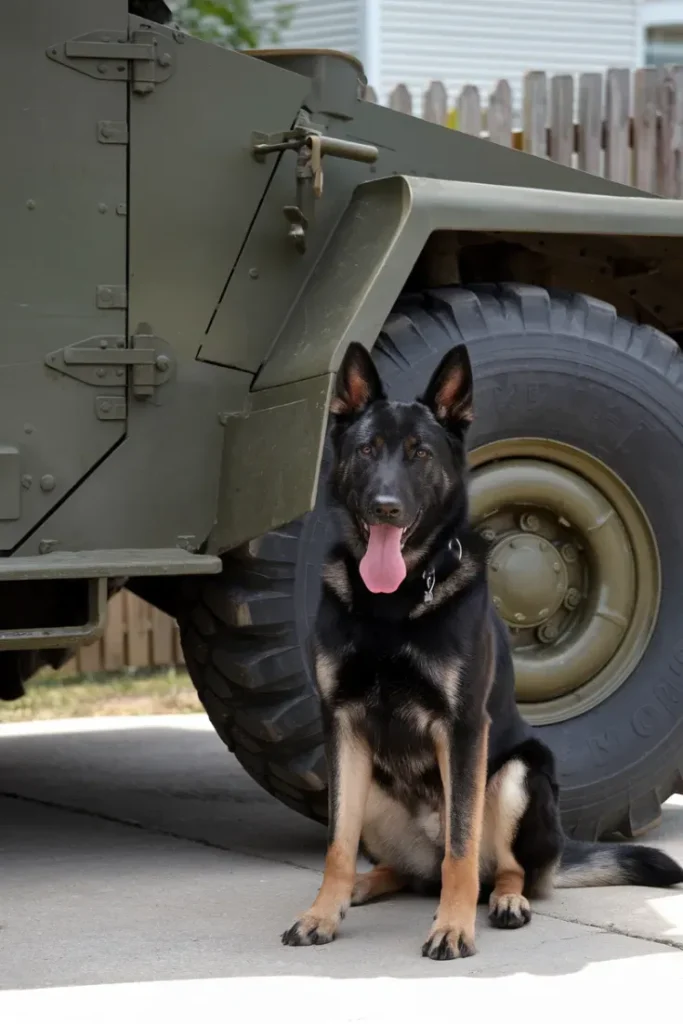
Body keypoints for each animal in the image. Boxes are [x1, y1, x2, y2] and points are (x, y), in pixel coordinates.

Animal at [282, 342, 683, 958]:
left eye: (420, 455)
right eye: (367, 450)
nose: (384, 506)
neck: (393, 603)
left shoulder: (464, 729)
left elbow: (462, 849)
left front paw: (453, 927)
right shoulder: (342, 728)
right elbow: (337, 846)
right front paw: (323, 912)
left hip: (518, 774)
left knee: (505, 868)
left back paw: (506, 901)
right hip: (371, 786)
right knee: (404, 870)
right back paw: (363, 888)